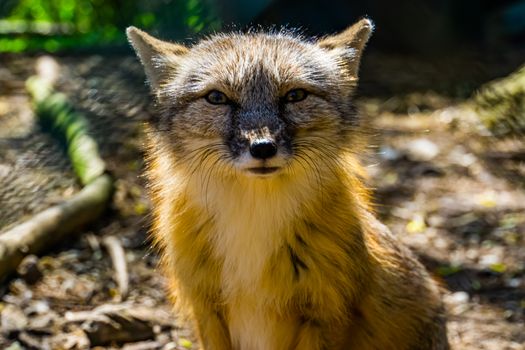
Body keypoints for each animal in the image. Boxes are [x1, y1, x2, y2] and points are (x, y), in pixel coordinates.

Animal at [126, 19, 446, 350]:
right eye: (216, 98)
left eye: (295, 96)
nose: (263, 148)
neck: (252, 218)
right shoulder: (207, 311)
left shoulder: (327, 313)